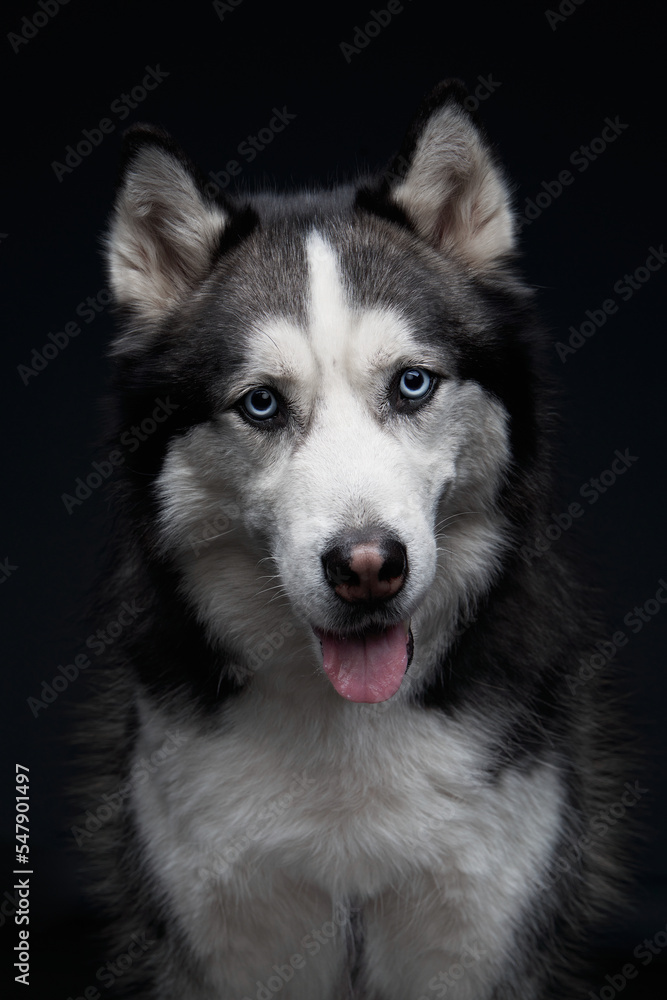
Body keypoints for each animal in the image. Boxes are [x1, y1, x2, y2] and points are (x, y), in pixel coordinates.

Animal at [85, 82, 628, 996]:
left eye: (411, 384)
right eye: (261, 403)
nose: (367, 567)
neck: (346, 730)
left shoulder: (469, 937)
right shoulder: (237, 938)